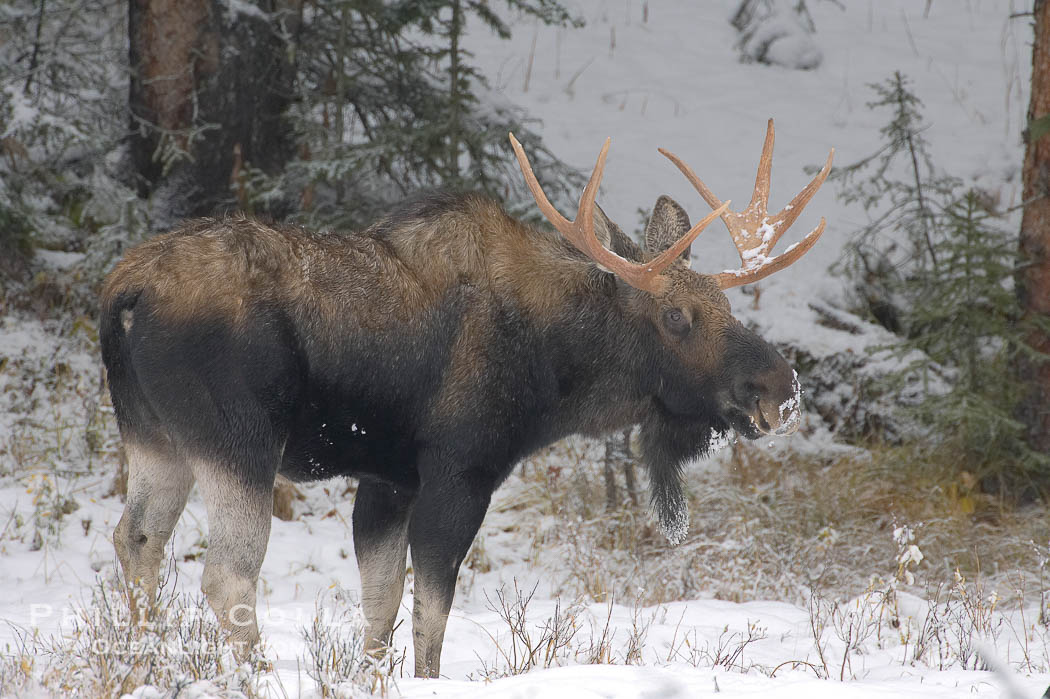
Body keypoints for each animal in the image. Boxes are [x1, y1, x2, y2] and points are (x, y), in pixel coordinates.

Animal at [100, 120, 832, 678]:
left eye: (728, 306)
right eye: (678, 316)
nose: (781, 388)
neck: (558, 375)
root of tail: (124, 294)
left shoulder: (387, 479)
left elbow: (381, 609)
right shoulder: (461, 471)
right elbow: (430, 617)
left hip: (156, 438)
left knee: (136, 538)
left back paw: (142, 659)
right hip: (240, 441)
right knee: (227, 573)